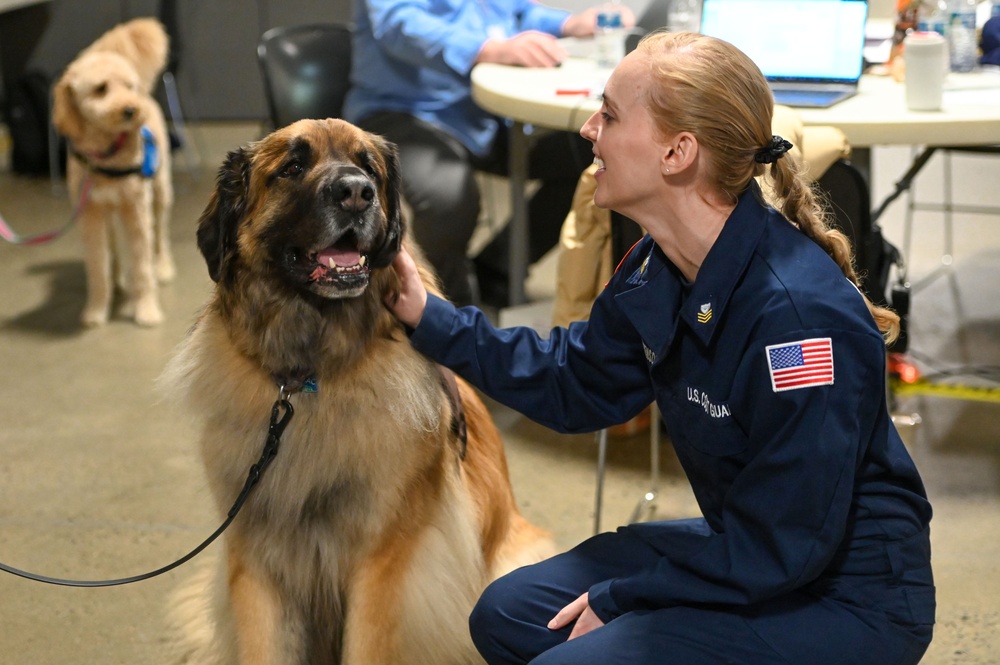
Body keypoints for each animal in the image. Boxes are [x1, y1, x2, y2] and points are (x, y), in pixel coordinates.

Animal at [51, 17, 174, 324]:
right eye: (101, 88)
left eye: (129, 86)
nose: (132, 109)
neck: (106, 157)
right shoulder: (91, 215)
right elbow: (98, 265)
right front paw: (96, 310)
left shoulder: (137, 211)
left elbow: (142, 264)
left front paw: (146, 310)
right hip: (109, 212)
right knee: (114, 249)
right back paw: (118, 281)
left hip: (159, 193)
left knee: (160, 235)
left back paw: (163, 267)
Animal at [162, 119, 556, 664]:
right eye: (293, 166)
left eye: (368, 167)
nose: (355, 193)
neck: (311, 379)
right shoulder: (254, 555)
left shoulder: (383, 563)